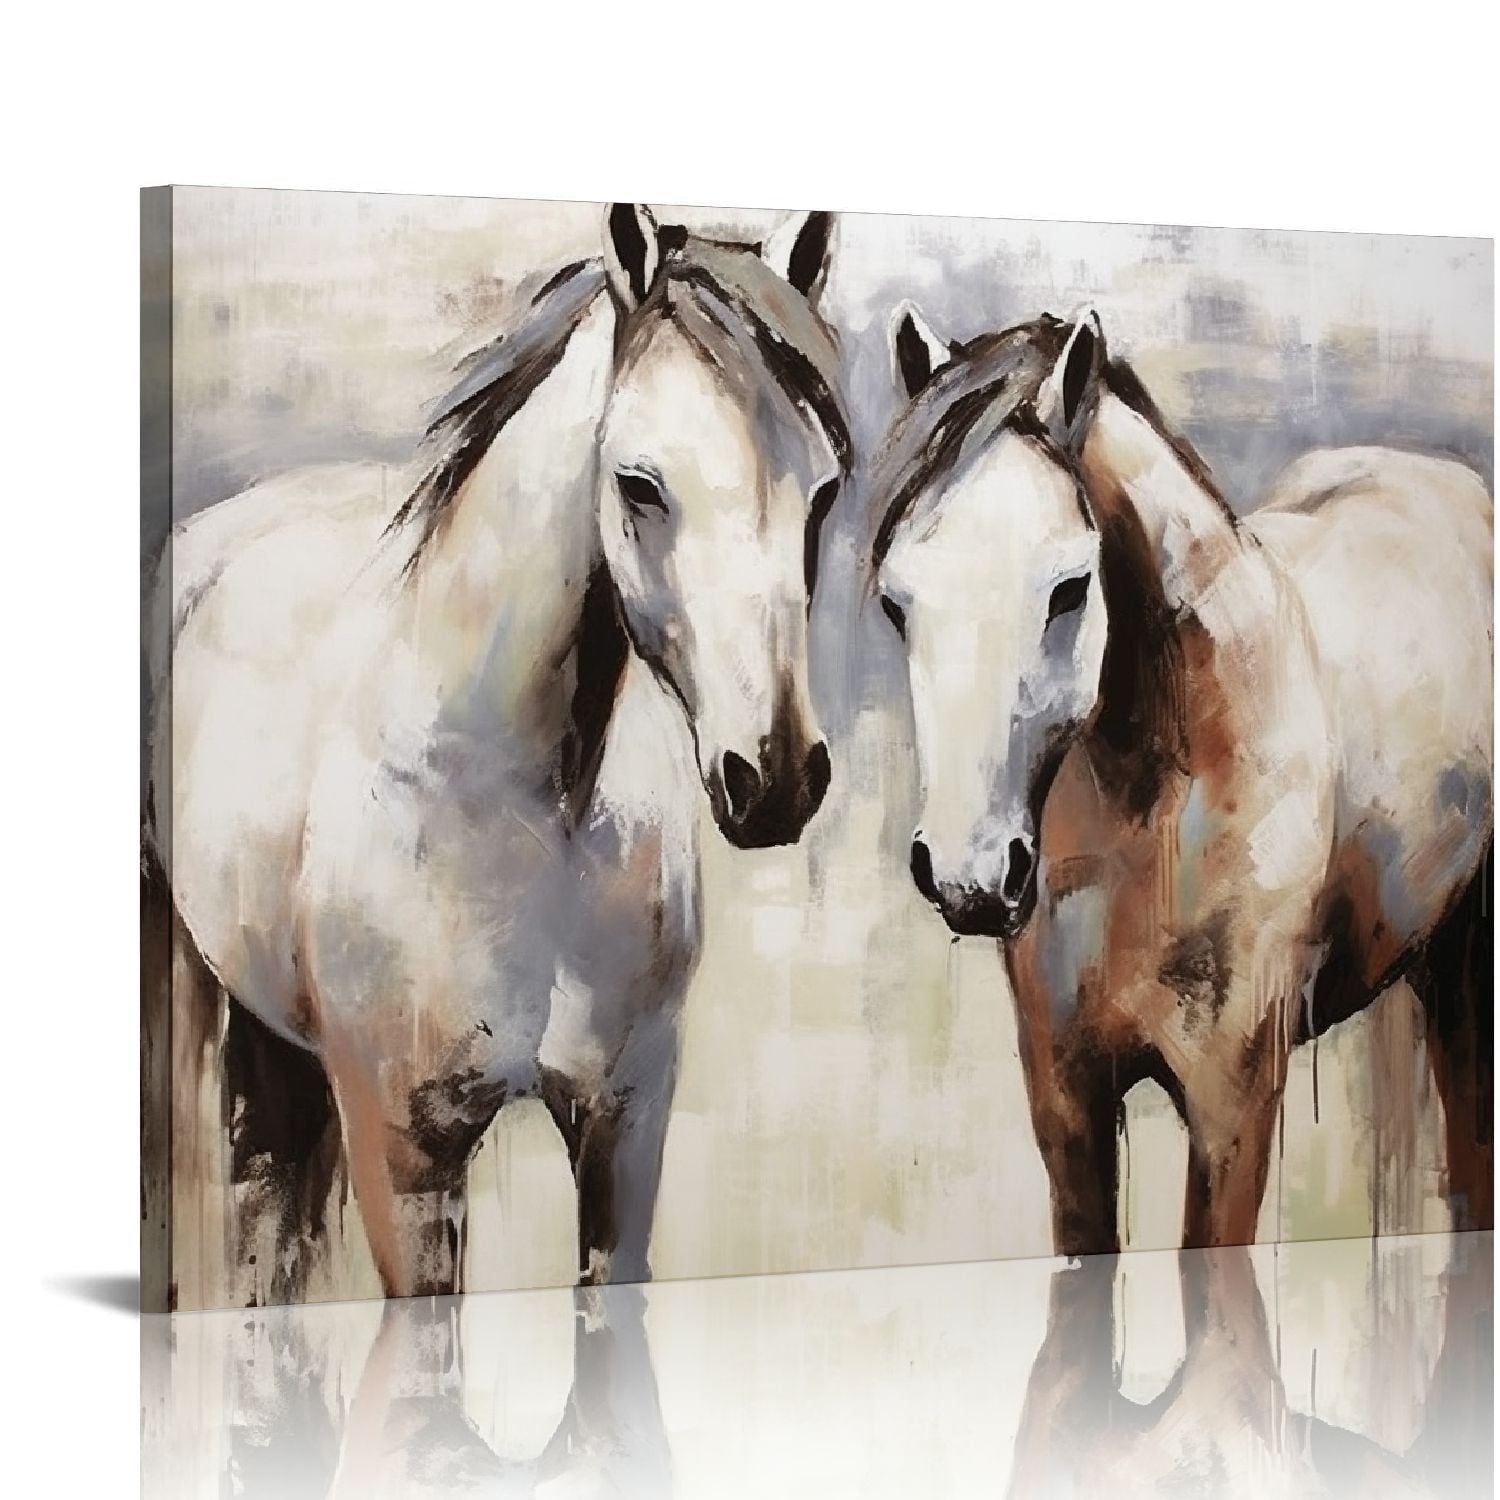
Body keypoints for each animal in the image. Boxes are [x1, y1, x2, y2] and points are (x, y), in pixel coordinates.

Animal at [146, 202, 850, 1305]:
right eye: (640, 485)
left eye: (821, 494)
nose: (775, 777)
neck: (518, 808)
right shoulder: (407, 1160)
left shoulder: (623, 1130)